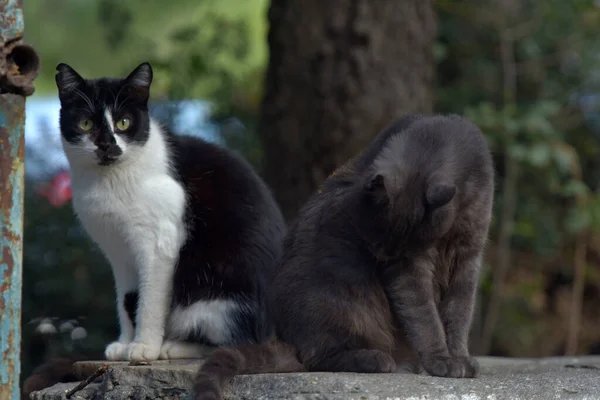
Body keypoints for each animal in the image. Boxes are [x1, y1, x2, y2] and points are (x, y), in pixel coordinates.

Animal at [53, 62, 284, 362]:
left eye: (123, 122)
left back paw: (174, 347)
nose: (106, 145)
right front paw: (125, 343)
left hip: (215, 299)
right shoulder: (118, 254)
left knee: (239, 341)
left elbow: (149, 301)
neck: (109, 181)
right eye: (86, 123)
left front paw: (144, 347)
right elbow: (126, 300)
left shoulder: (159, 244)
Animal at [191, 113, 492, 400]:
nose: (384, 258)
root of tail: (290, 340)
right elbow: (424, 316)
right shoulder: (411, 270)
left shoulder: (469, 256)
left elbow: (459, 313)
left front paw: (460, 359)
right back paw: (376, 359)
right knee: (316, 356)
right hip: (342, 294)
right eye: (382, 249)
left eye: (394, 249)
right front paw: (440, 361)